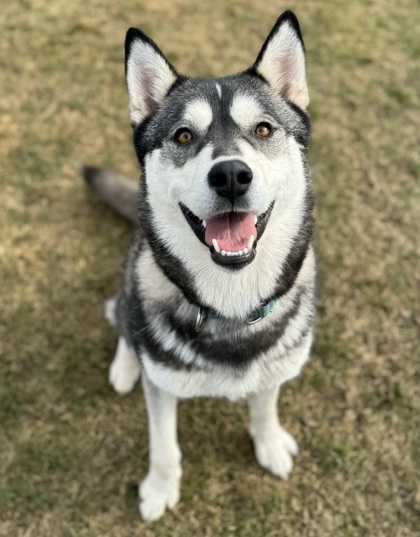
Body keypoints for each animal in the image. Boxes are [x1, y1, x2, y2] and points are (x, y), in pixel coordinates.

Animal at [81, 10, 316, 520]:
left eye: (263, 129)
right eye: (184, 136)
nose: (230, 175)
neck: (231, 303)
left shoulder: (276, 365)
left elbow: (265, 403)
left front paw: (269, 442)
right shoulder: (163, 388)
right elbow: (163, 444)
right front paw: (159, 488)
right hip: (130, 281)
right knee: (121, 316)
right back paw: (126, 365)